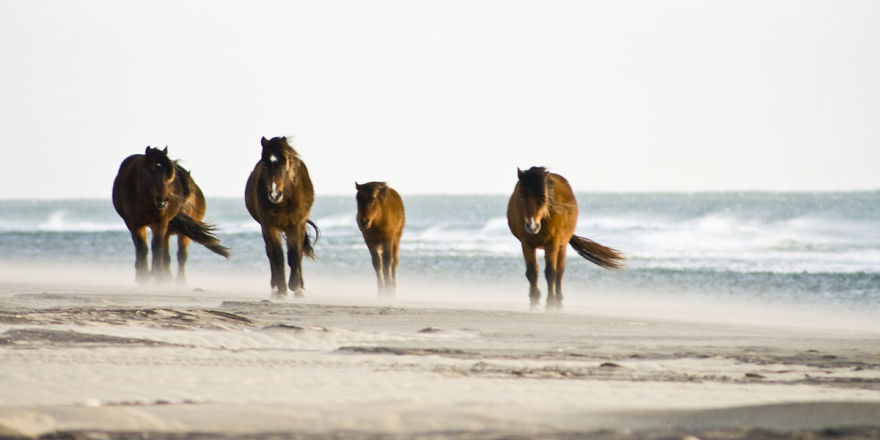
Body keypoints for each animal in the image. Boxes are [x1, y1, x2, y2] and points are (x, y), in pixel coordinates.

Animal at [112, 146, 230, 284]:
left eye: (169, 178)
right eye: (149, 172)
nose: (162, 201)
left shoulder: (161, 222)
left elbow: (160, 248)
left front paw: (159, 276)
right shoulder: (135, 223)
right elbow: (142, 247)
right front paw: (144, 277)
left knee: (175, 254)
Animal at [245, 136, 320, 299]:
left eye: (284, 162)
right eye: (265, 163)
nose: (274, 194)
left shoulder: (296, 225)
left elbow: (295, 254)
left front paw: (295, 286)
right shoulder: (269, 226)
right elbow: (277, 255)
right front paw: (281, 289)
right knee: (271, 254)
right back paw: (274, 288)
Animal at [507, 166, 624, 309]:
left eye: (542, 197)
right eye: (522, 195)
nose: (532, 226)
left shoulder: (553, 244)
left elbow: (551, 272)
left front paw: (550, 302)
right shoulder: (526, 244)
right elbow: (532, 272)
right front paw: (534, 301)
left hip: (562, 247)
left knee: (559, 273)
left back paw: (558, 300)